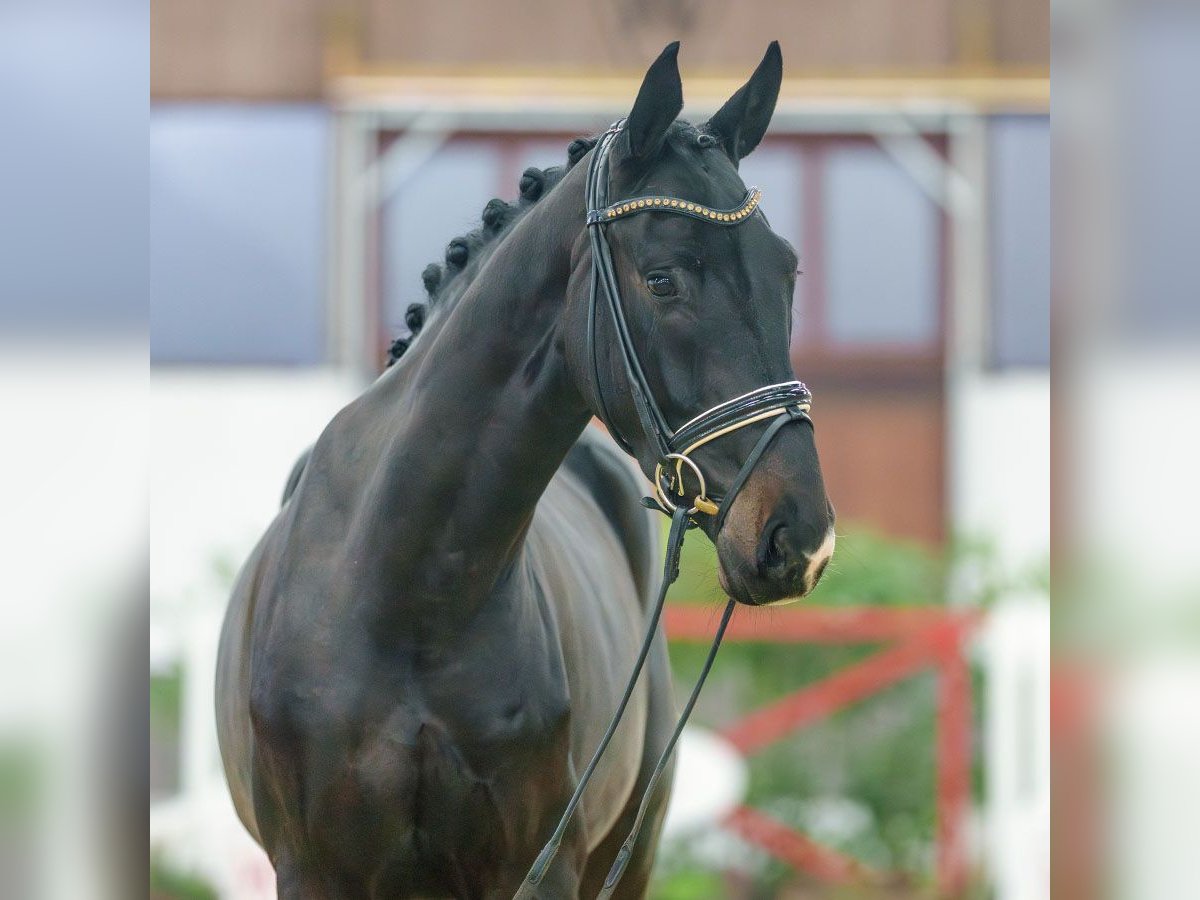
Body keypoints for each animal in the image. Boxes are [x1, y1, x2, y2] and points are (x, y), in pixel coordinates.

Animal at [216, 42, 835, 900]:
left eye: (787, 273)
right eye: (664, 278)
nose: (798, 539)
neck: (407, 596)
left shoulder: (544, 865)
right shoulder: (312, 870)